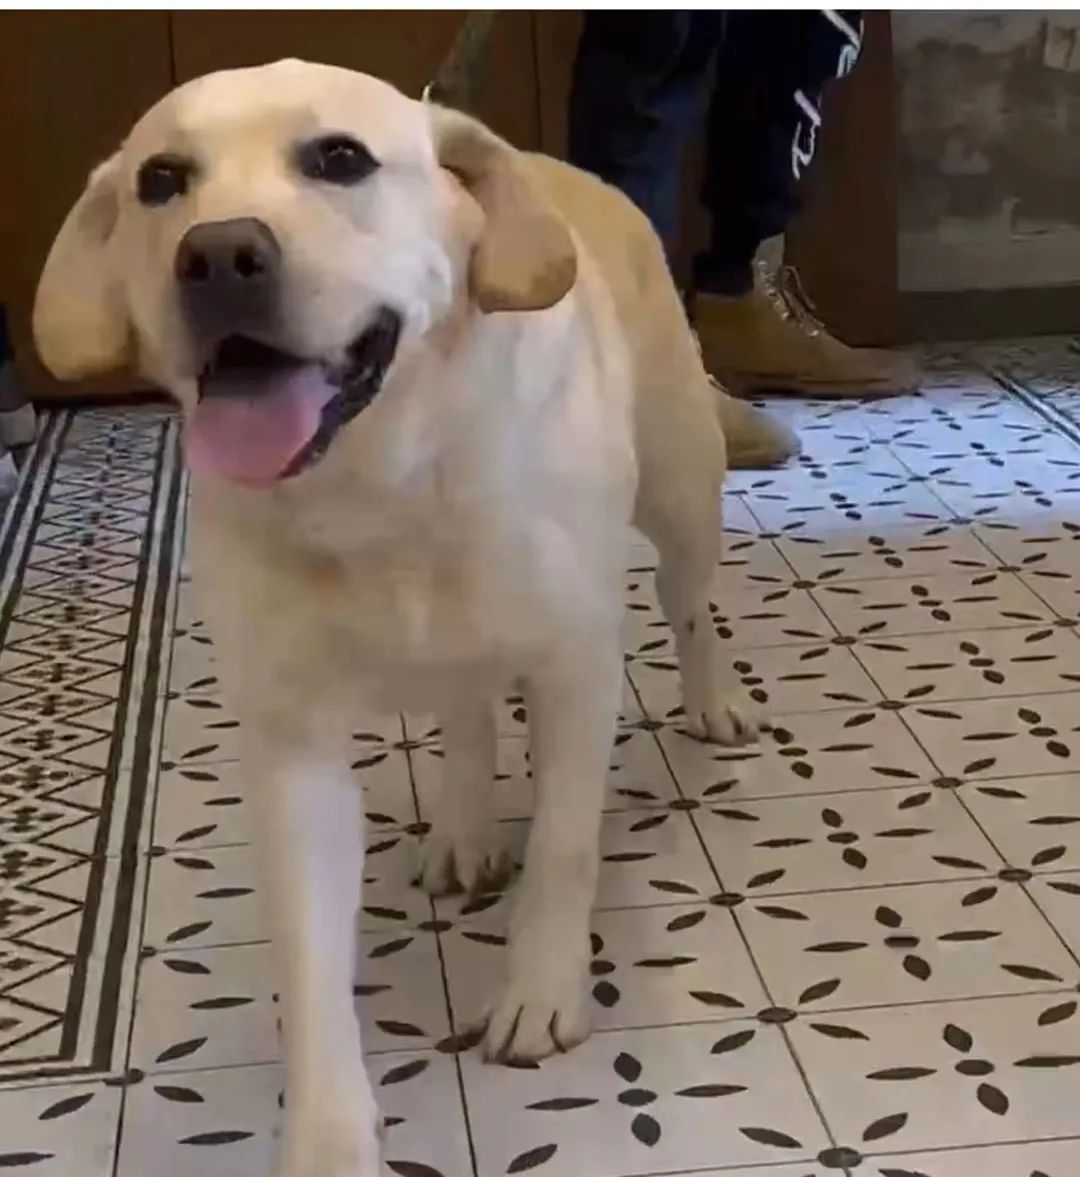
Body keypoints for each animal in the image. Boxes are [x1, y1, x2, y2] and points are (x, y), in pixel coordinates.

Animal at [34, 60, 792, 1177]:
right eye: (160, 181)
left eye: (341, 158)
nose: (216, 254)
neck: (381, 485)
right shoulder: (293, 750)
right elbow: (310, 967)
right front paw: (327, 1137)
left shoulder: (576, 672)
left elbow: (565, 847)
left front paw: (540, 990)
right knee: (466, 711)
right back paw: (465, 827)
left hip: (682, 488)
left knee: (689, 602)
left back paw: (716, 701)